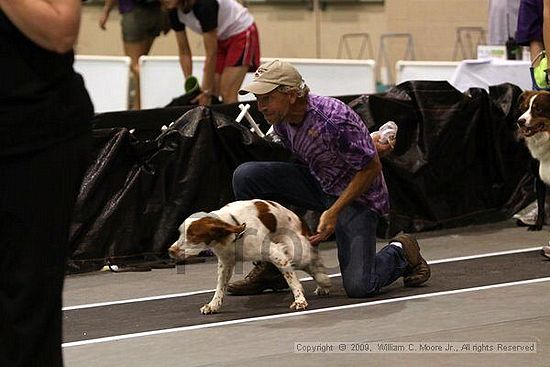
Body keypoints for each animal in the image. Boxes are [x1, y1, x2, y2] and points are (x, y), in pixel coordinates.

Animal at [169, 200, 332, 314]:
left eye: (193, 236)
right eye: (180, 233)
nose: (171, 251)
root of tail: (301, 219)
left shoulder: (276, 254)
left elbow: (292, 280)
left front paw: (299, 300)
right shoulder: (225, 264)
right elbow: (220, 287)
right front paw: (213, 305)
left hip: (296, 251)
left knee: (315, 262)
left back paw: (323, 282)